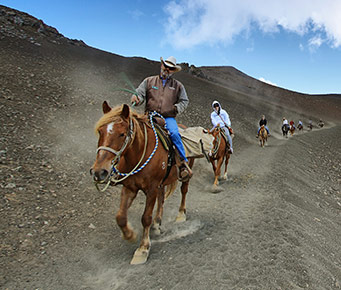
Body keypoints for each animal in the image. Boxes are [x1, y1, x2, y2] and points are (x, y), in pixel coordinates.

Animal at [89, 102, 194, 266]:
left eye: (122, 134)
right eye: (100, 131)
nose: (99, 172)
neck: (138, 154)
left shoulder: (151, 190)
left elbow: (145, 218)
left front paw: (142, 249)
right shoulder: (130, 188)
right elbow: (120, 217)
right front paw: (130, 235)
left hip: (185, 175)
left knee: (184, 191)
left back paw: (181, 214)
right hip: (162, 183)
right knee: (161, 199)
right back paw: (157, 223)